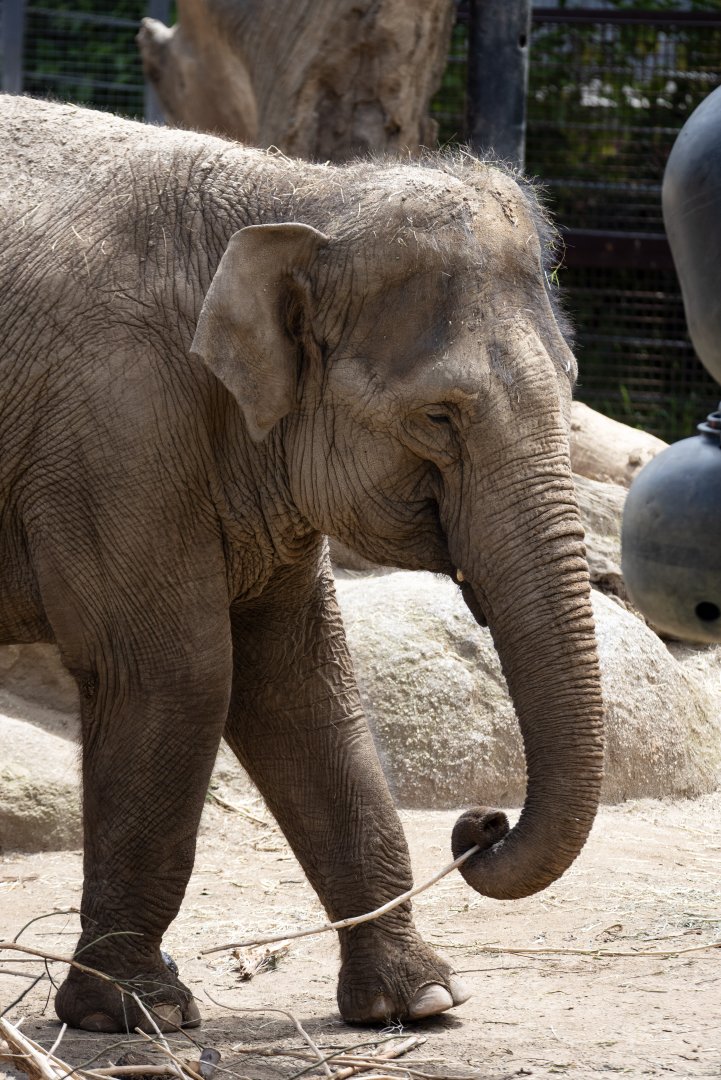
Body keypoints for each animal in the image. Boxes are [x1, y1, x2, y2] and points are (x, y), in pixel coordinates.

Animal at [0, 95, 604, 1033]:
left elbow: (299, 684)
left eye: (574, 382)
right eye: (438, 417)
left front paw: (419, 1001)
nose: (480, 825)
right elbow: (176, 675)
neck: (301, 192)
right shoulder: (109, 430)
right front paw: (136, 1012)